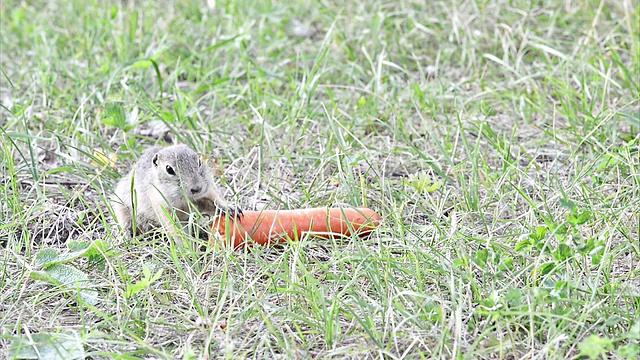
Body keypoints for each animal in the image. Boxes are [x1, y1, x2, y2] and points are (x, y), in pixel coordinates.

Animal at [111, 145, 241, 235]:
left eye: (199, 162)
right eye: (169, 169)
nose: (197, 188)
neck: (184, 198)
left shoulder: (207, 192)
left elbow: (214, 200)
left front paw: (229, 208)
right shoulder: (163, 207)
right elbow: (175, 227)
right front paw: (187, 245)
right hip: (122, 210)